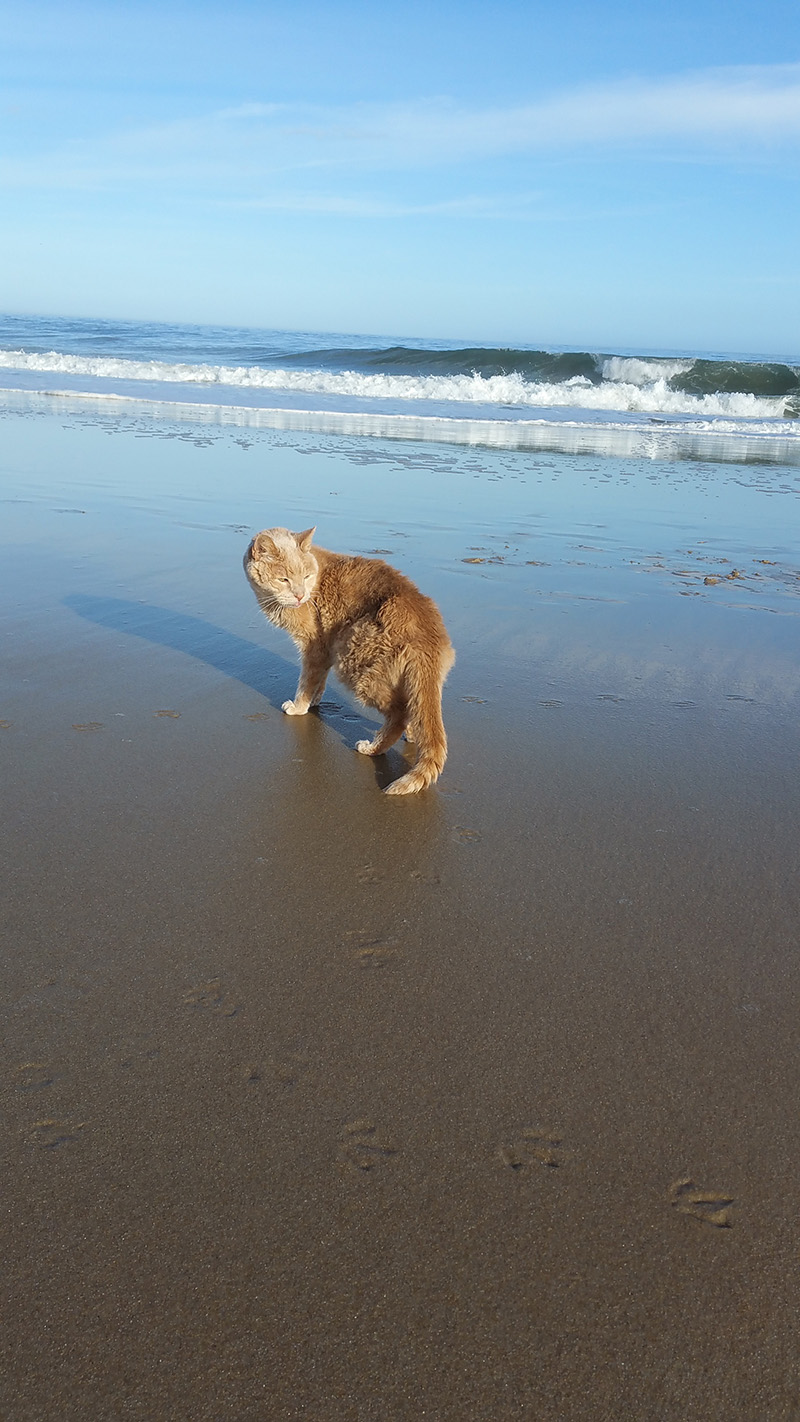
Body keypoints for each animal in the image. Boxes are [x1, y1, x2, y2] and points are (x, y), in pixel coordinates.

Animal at [244, 526, 454, 796]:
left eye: (306, 576)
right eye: (284, 580)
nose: (300, 596)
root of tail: (427, 635)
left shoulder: (314, 646)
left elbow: (306, 681)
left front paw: (299, 707)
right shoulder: (325, 649)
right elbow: (319, 681)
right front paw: (315, 701)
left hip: (353, 659)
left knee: (398, 714)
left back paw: (373, 748)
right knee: (412, 708)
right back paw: (412, 734)